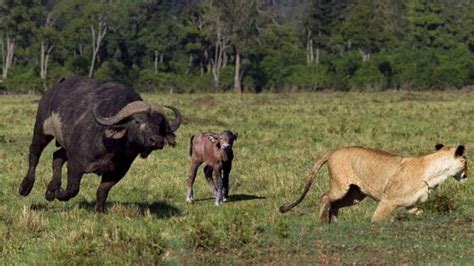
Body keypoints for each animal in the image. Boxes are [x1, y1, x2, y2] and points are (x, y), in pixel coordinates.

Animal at [19, 77, 181, 212]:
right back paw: (26, 186)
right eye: (137, 121)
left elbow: (102, 191)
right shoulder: (75, 163)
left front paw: (99, 210)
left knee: (57, 156)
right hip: (41, 130)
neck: (113, 147)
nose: (157, 140)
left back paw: (50, 190)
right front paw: (60, 193)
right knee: (34, 154)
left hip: (65, 146)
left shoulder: (118, 171)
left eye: (159, 124)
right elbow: (73, 188)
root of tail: (55, 88)